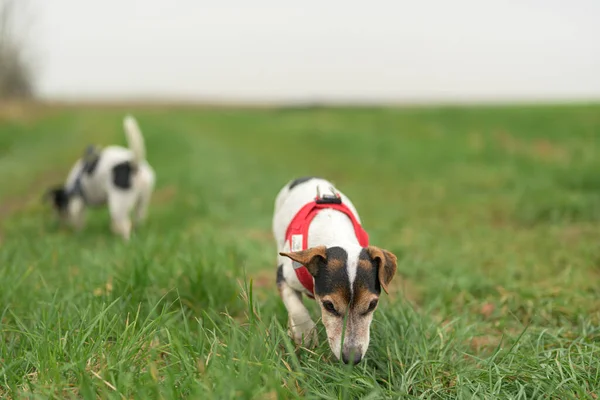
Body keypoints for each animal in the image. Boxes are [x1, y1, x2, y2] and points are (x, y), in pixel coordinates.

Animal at [274, 177, 396, 364]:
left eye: (372, 305)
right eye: (329, 306)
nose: (352, 359)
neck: (335, 235)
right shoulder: (284, 276)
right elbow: (297, 309)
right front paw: (305, 334)